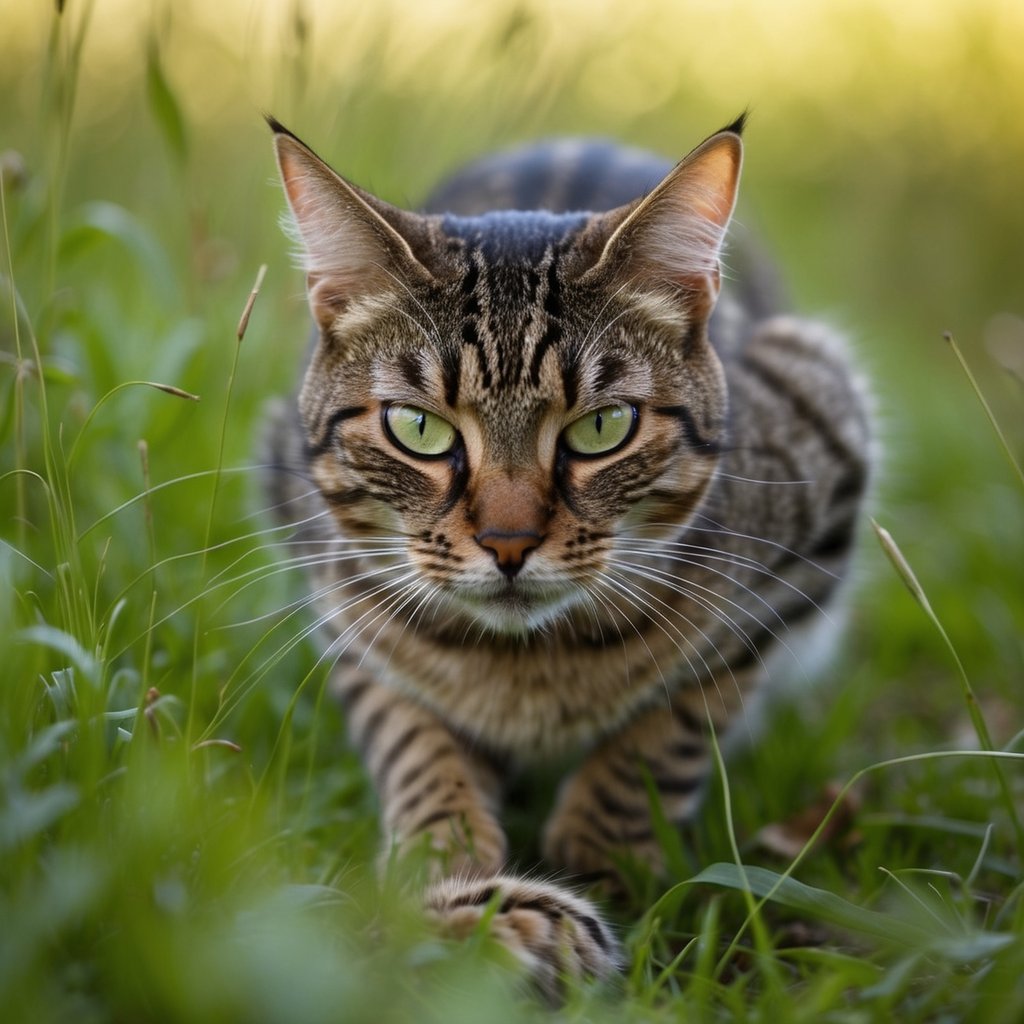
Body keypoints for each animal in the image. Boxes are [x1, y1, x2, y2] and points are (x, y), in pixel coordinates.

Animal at [262, 114, 864, 999]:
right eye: (418, 429)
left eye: (602, 428)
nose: (508, 544)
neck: (531, 671)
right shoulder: (334, 594)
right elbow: (409, 737)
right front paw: (444, 869)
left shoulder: (820, 486)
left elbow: (668, 734)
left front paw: (602, 867)